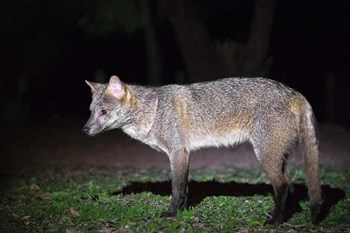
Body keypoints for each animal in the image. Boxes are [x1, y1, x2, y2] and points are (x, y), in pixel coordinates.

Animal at [82, 74, 322, 224]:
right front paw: (183, 213)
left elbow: (176, 189)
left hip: (265, 157)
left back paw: (275, 221)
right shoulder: (185, 154)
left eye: (104, 112)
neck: (154, 110)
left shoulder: (177, 153)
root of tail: (295, 93)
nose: (85, 129)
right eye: (91, 111)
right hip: (277, 158)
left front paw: (171, 214)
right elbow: (185, 188)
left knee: (282, 187)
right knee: (290, 186)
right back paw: (282, 215)